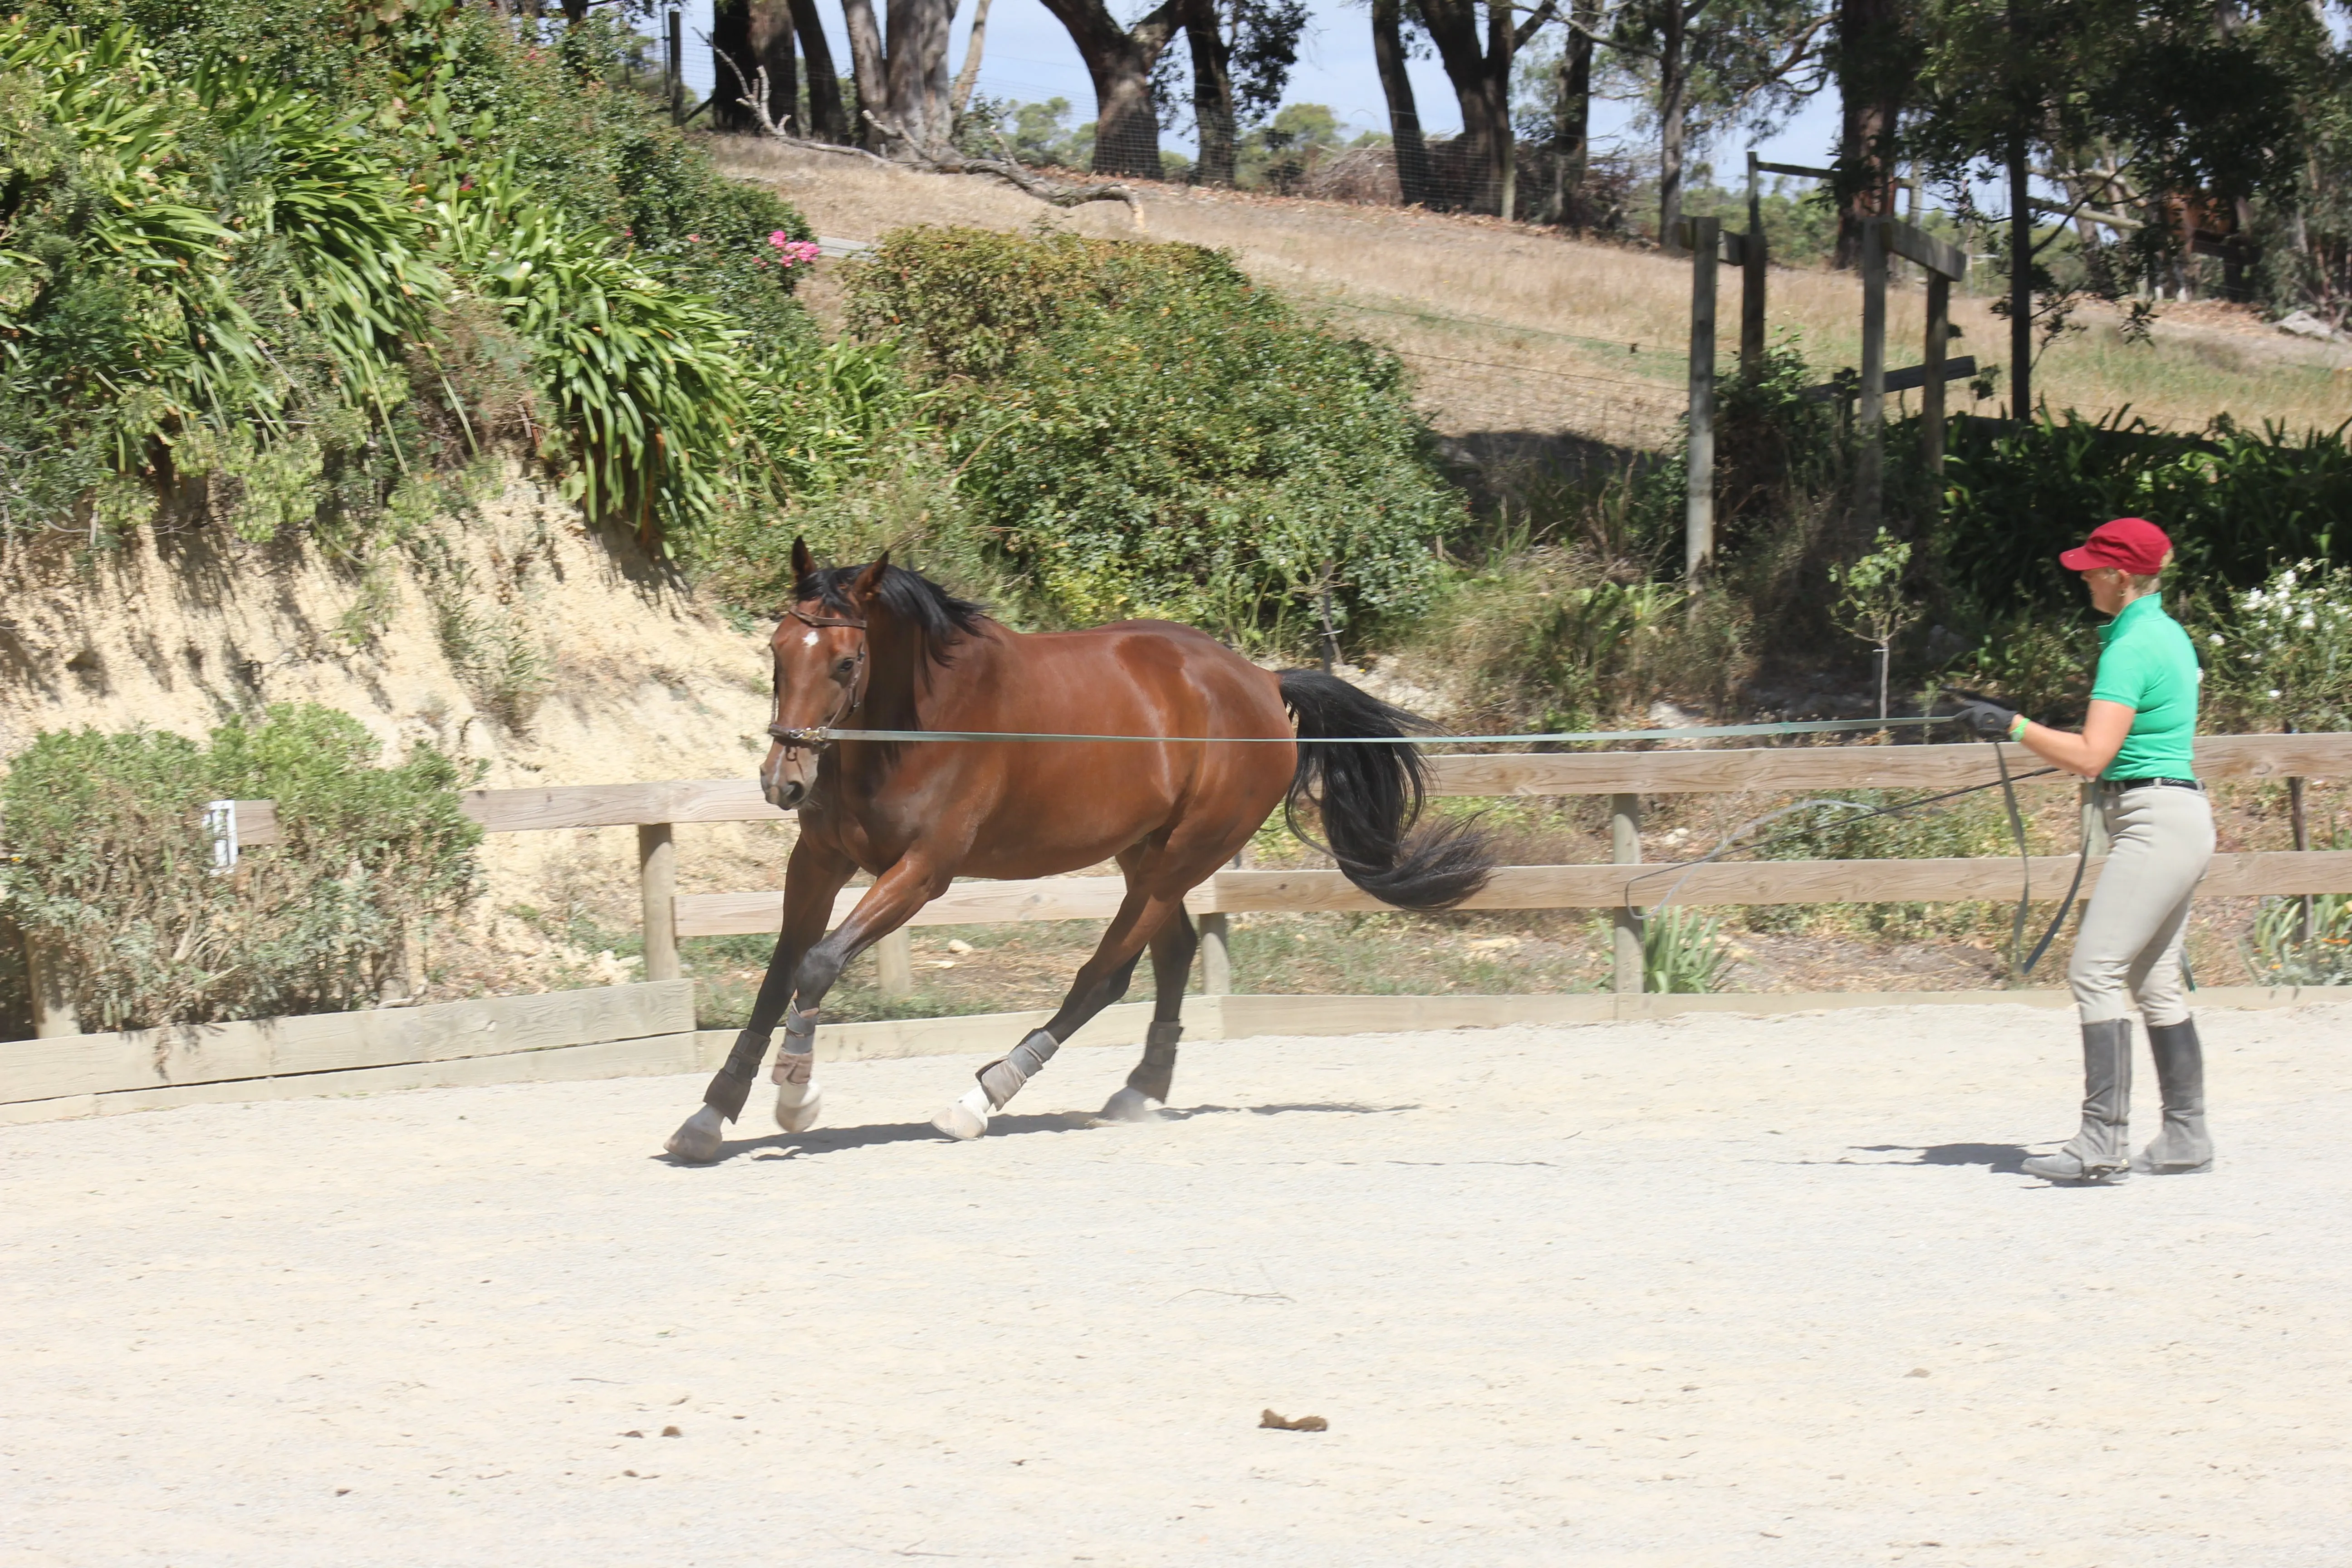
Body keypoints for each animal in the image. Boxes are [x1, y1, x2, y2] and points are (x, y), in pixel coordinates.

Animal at [663, 543, 1486, 1166]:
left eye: (843, 662)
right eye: (777, 650)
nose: (783, 780)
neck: (910, 727)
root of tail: (1260, 679)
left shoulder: (923, 872)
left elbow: (819, 964)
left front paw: (797, 1094)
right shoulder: (821, 861)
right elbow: (781, 973)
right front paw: (709, 1116)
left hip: (1182, 857)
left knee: (1106, 975)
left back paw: (984, 1096)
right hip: (1144, 853)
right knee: (1172, 952)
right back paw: (1139, 1090)